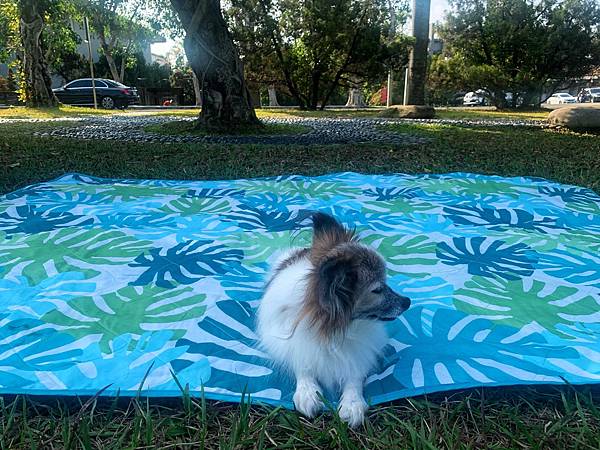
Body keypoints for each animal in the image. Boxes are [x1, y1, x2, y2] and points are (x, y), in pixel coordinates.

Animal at [255, 213, 410, 428]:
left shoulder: (359, 352)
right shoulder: (294, 344)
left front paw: (352, 403)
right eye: (378, 290)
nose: (408, 302)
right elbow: (303, 363)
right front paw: (307, 392)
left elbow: (354, 373)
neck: (334, 329)